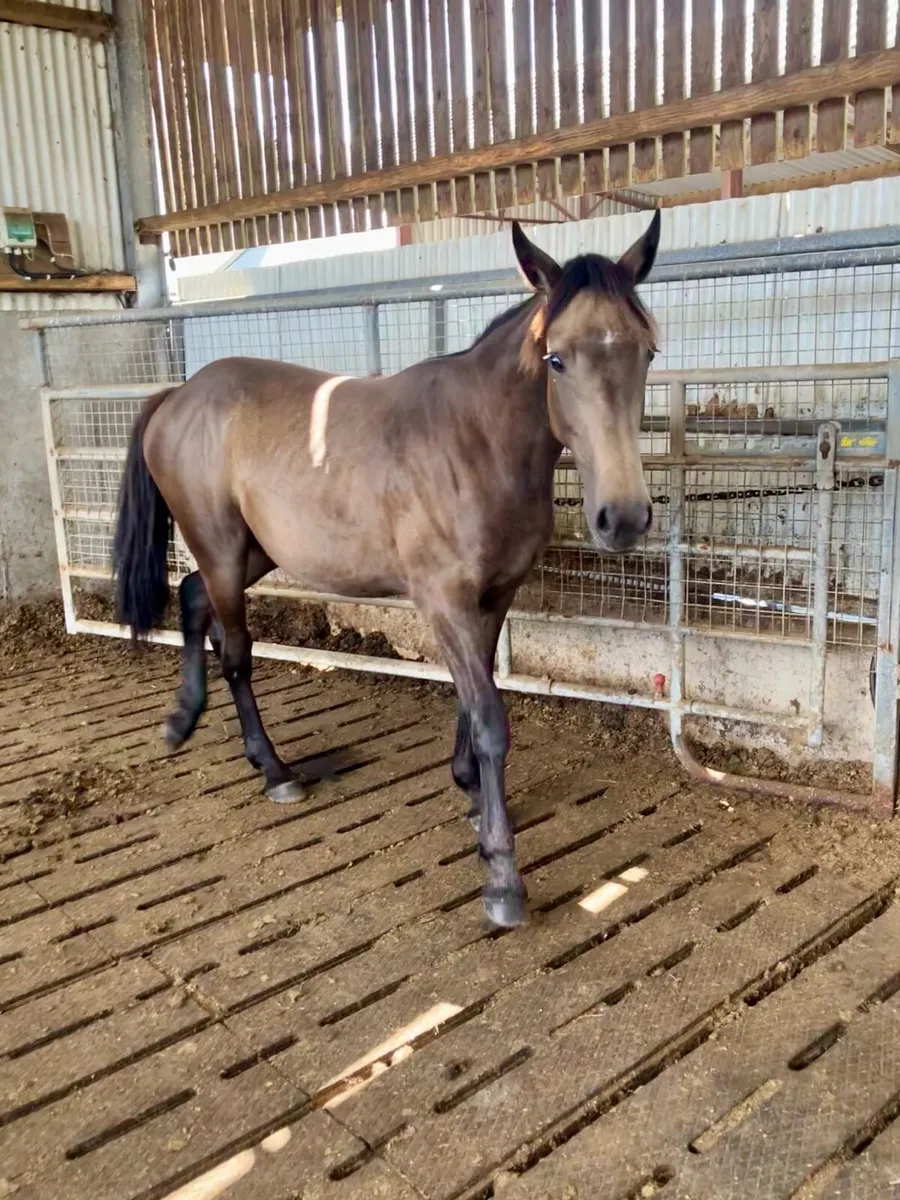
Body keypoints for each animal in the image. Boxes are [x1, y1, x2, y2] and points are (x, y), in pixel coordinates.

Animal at [112, 214, 661, 928]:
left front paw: (470, 794)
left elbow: (475, 696)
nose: (622, 518)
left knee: (191, 596)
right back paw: (275, 771)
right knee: (234, 650)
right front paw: (501, 877)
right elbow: (489, 718)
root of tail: (179, 394)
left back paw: (182, 721)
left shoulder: (493, 596)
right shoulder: (443, 600)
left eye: (647, 353)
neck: (474, 442)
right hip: (222, 548)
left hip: (253, 551)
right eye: (557, 359)